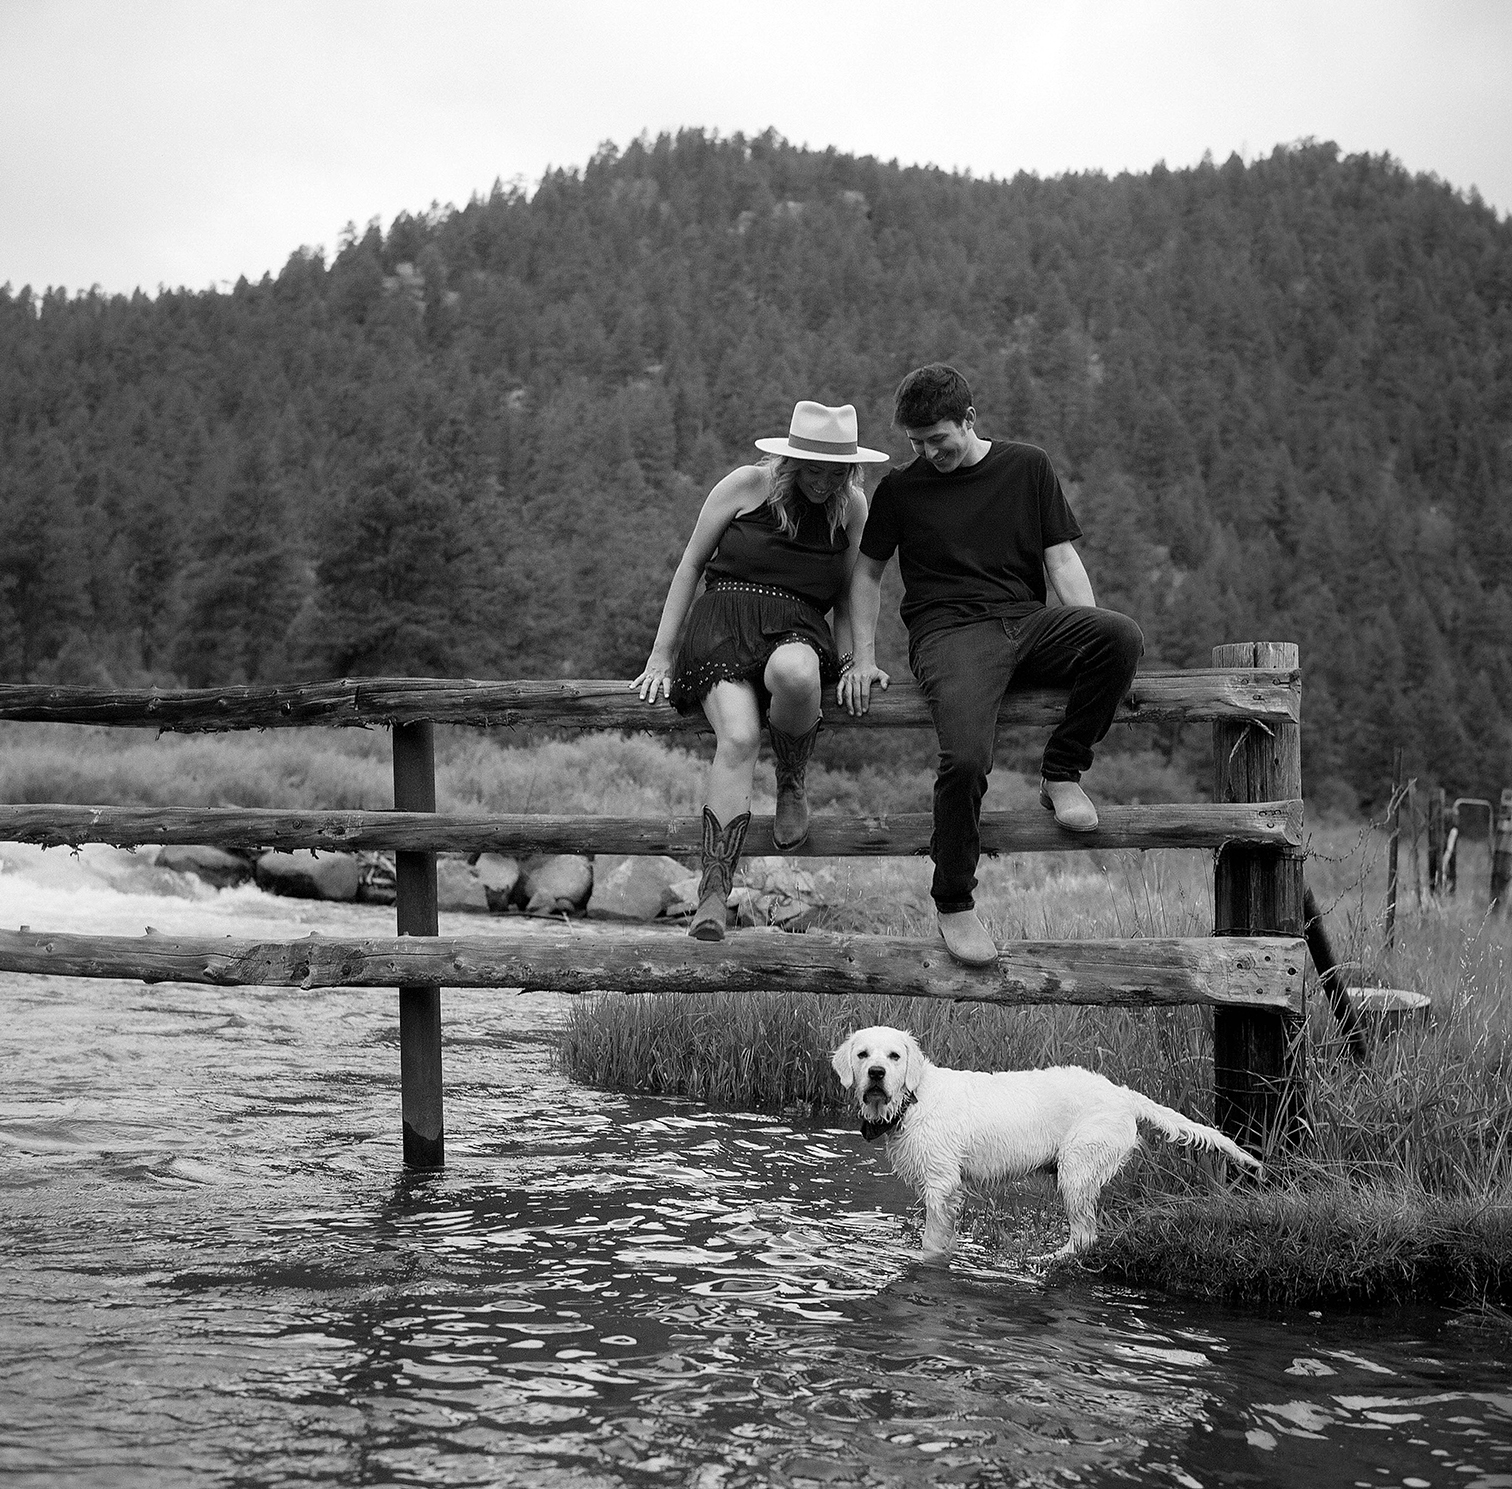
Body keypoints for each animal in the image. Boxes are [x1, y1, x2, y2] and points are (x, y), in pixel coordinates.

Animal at [834, 1027, 1257, 1263]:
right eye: (863, 1054)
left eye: (894, 1055)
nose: (876, 1073)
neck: (913, 1098)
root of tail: (1122, 1094)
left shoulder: (941, 1184)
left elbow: (933, 1240)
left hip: (1078, 1166)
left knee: (1085, 1236)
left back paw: (1049, 1260)